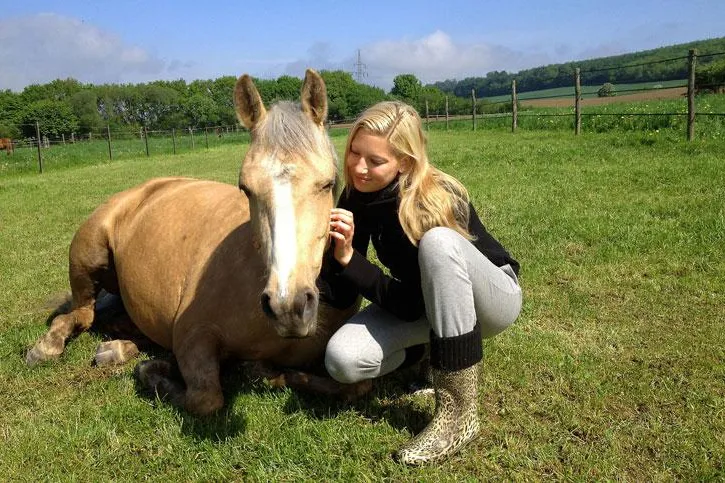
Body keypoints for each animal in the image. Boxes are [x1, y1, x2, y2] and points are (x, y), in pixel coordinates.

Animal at [25, 69, 366, 415]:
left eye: (327, 184)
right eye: (245, 188)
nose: (289, 306)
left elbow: (352, 389)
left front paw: (256, 369)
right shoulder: (194, 334)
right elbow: (206, 398)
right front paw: (152, 372)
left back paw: (117, 348)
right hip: (87, 257)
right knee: (81, 314)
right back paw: (46, 348)